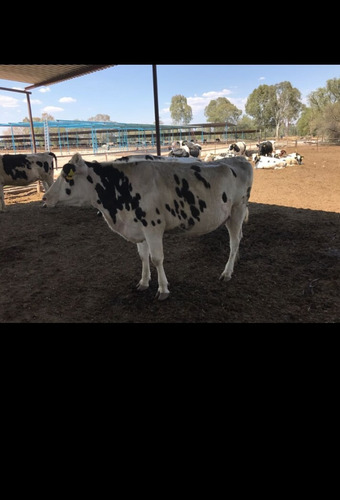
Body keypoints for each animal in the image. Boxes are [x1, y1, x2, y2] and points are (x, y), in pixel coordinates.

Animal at [43, 152, 252, 300]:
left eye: (67, 176)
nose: (45, 198)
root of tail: (240, 159)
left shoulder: (153, 227)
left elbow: (157, 259)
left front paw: (163, 289)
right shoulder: (138, 227)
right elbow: (143, 257)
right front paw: (143, 282)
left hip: (238, 209)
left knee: (234, 242)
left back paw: (227, 272)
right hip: (230, 216)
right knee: (239, 238)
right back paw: (235, 262)